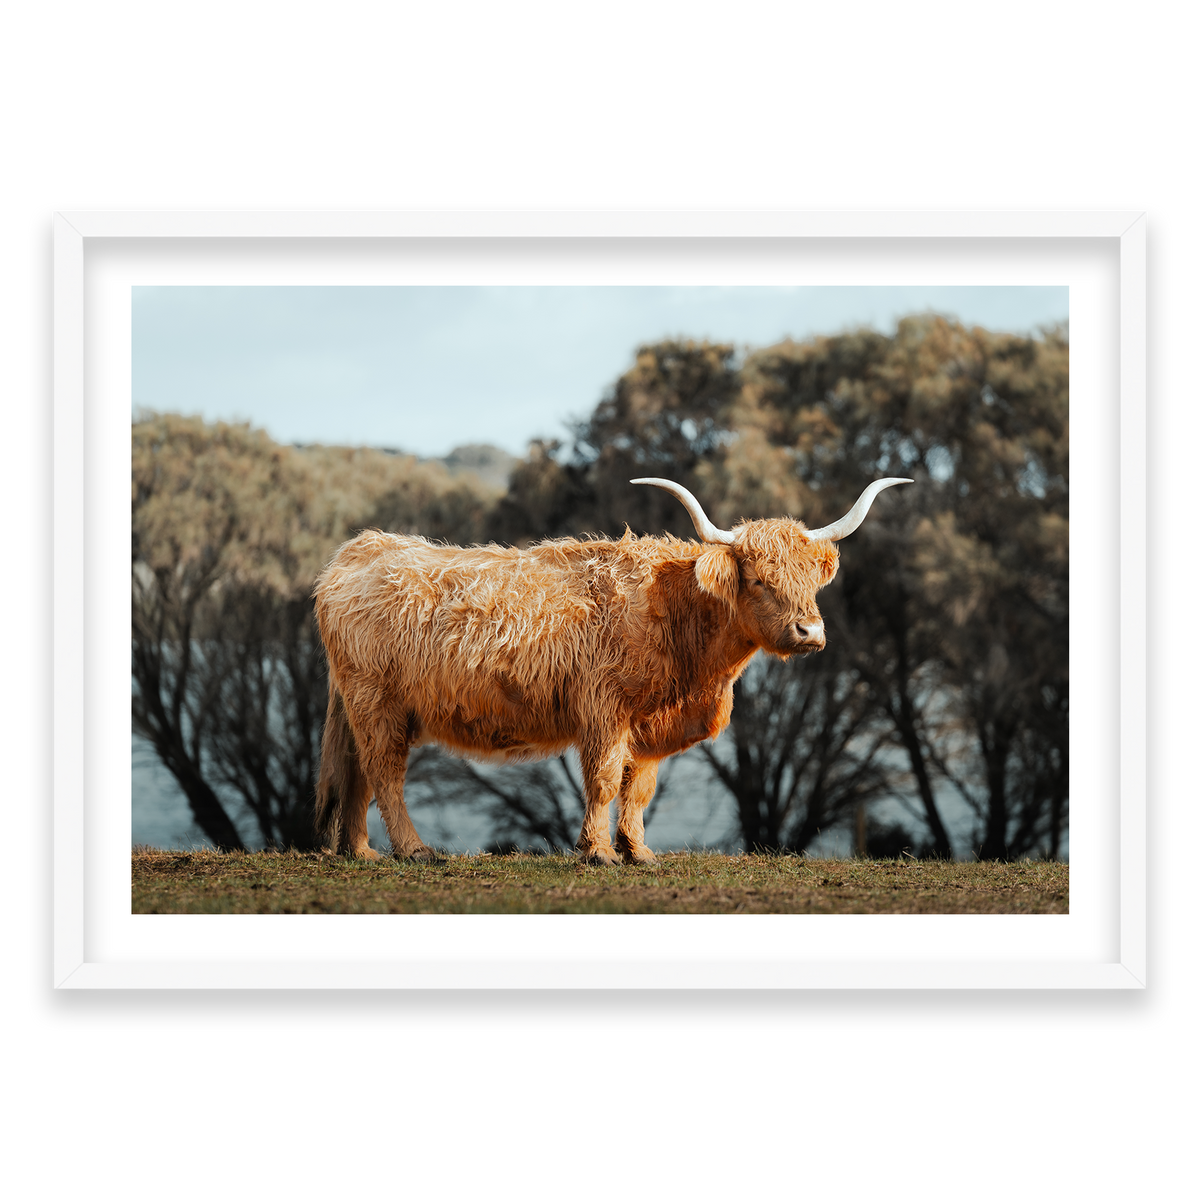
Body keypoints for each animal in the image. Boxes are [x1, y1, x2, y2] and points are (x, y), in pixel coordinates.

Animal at [313, 476, 911, 865]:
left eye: (811, 580)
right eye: (761, 580)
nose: (810, 632)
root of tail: (359, 549)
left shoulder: (647, 723)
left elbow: (639, 787)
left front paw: (638, 851)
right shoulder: (604, 709)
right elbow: (602, 780)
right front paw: (597, 852)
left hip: (364, 706)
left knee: (357, 774)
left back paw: (361, 852)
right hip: (377, 702)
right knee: (384, 773)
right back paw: (414, 851)